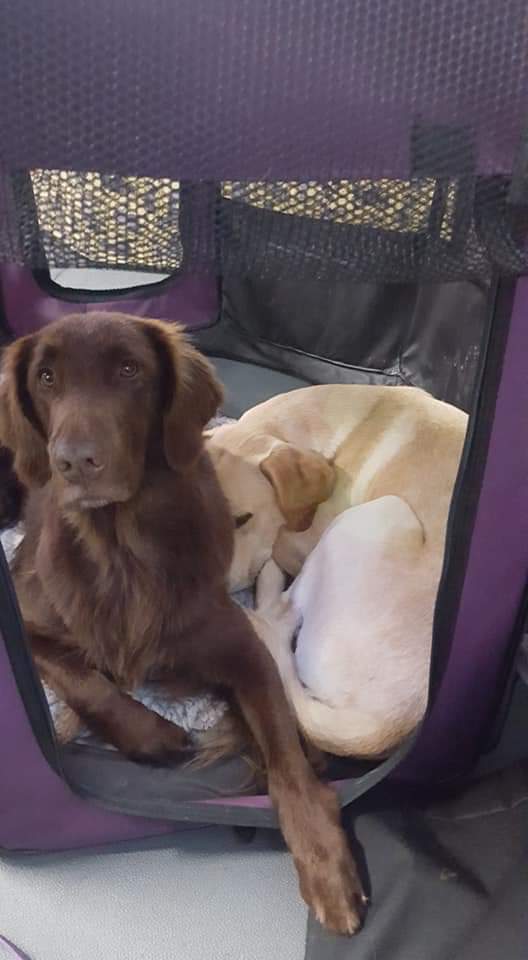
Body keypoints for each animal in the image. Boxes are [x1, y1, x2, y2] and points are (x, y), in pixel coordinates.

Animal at [0, 313, 365, 934]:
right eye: (45, 377)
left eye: (130, 370)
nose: (73, 461)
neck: (120, 551)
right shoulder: (24, 613)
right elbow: (85, 678)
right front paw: (152, 735)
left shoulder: (240, 646)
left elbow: (286, 760)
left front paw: (325, 865)